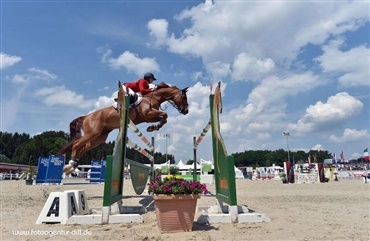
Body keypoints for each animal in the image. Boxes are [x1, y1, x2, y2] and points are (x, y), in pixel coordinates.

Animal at [59, 82, 191, 173]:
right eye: (184, 97)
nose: (186, 111)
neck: (154, 97)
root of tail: (87, 116)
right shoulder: (148, 114)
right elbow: (165, 115)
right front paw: (154, 128)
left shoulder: (149, 117)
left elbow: (164, 117)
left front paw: (153, 127)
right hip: (92, 133)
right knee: (77, 145)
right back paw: (70, 164)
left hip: (100, 137)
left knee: (83, 148)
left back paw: (72, 166)